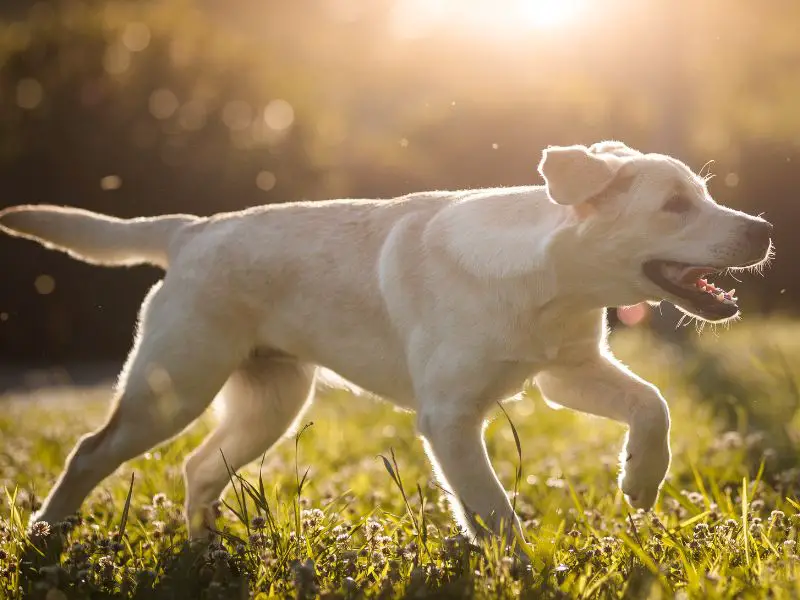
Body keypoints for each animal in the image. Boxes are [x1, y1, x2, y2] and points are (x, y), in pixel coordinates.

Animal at [0, 142, 776, 544]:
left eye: (704, 196)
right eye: (674, 206)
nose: (765, 229)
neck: (548, 281)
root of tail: (189, 229)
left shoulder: (568, 371)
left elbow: (653, 405)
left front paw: (640, 479)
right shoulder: (450, 418)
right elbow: (493, 511)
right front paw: (521, 573)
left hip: (269, 403)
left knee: (195, 470)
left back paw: (207, 550)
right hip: (173, 388)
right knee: (90, 449)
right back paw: (46, 534)